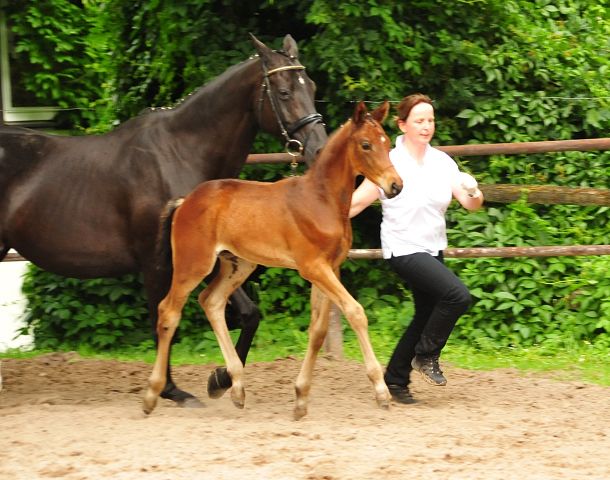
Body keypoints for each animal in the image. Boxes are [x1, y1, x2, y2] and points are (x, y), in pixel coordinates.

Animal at [0, 32, 328, 402]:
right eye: (284, 92)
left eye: (311, 87)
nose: (319, 148)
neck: (178, 155)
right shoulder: (159, 261)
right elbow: (164, 319)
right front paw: (170, 389)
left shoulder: (212, 257)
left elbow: (248, 313)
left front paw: (219, 379)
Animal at [141, 102, 400, 420]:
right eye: (365, 145)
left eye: (387, 144)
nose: (396, 185)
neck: (322, 199)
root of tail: (184, 201)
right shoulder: (313, 267)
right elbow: (355, 312)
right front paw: (381, 392)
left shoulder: (330, 268)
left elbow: (318, 331)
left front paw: (300, 398)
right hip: (193, 264)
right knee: (168, 312)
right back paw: (152, 394)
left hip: (239, 264)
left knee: (211, 301)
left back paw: (237, 389)